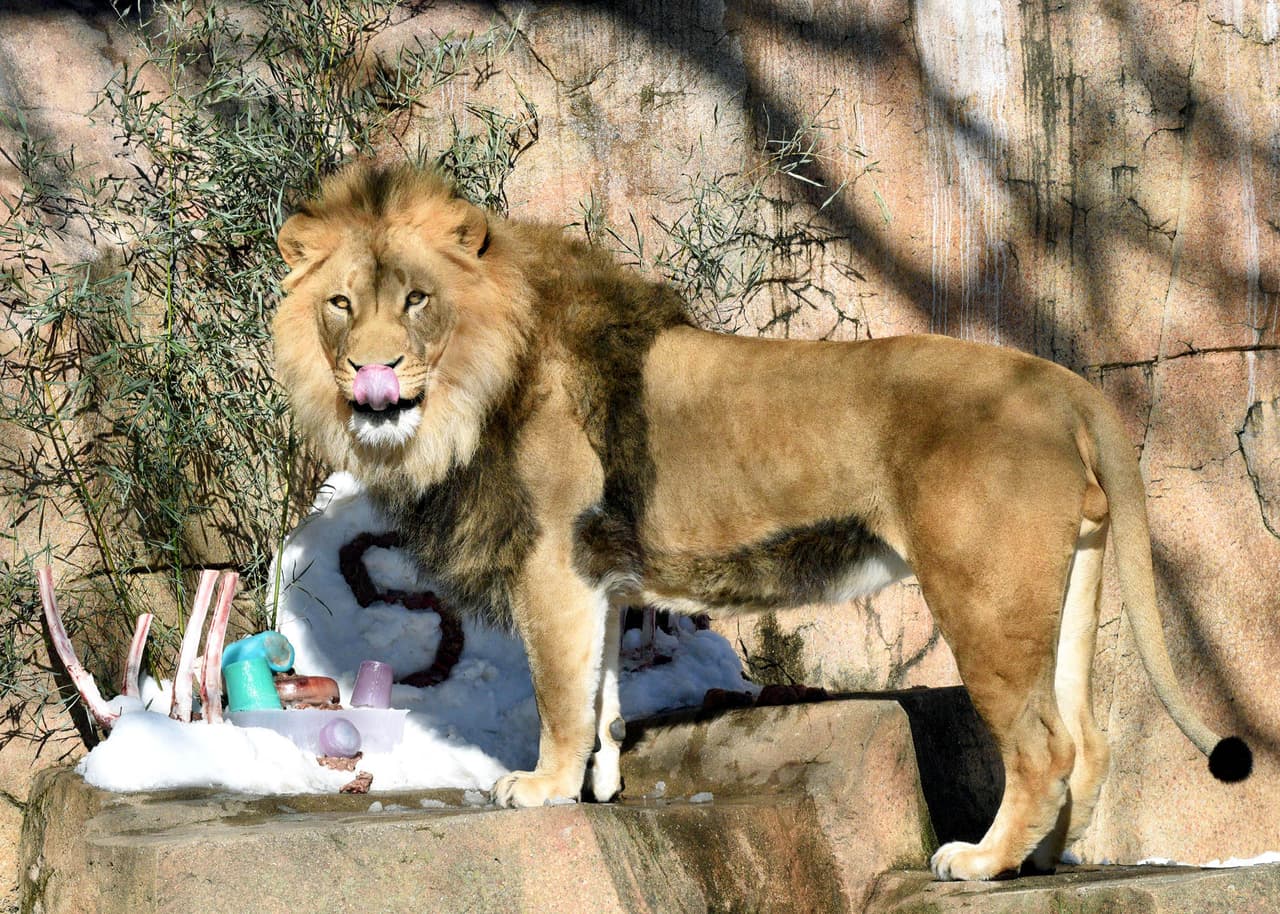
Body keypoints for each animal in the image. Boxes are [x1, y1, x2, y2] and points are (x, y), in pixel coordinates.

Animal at [272, 162, 1251, 881]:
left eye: (417, 299)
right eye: (341, 303)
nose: (370, 369)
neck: (476, 381)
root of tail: (1060, 380)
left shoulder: (553, 561)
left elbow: (560, 691)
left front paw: (541, 786)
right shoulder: (600, 572)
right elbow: (603, 693)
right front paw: (600, 784)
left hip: (982, 595)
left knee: (1043, 746)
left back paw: (980, 863)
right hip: (1068, 583)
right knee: (1089, 741)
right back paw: (1046, 859)